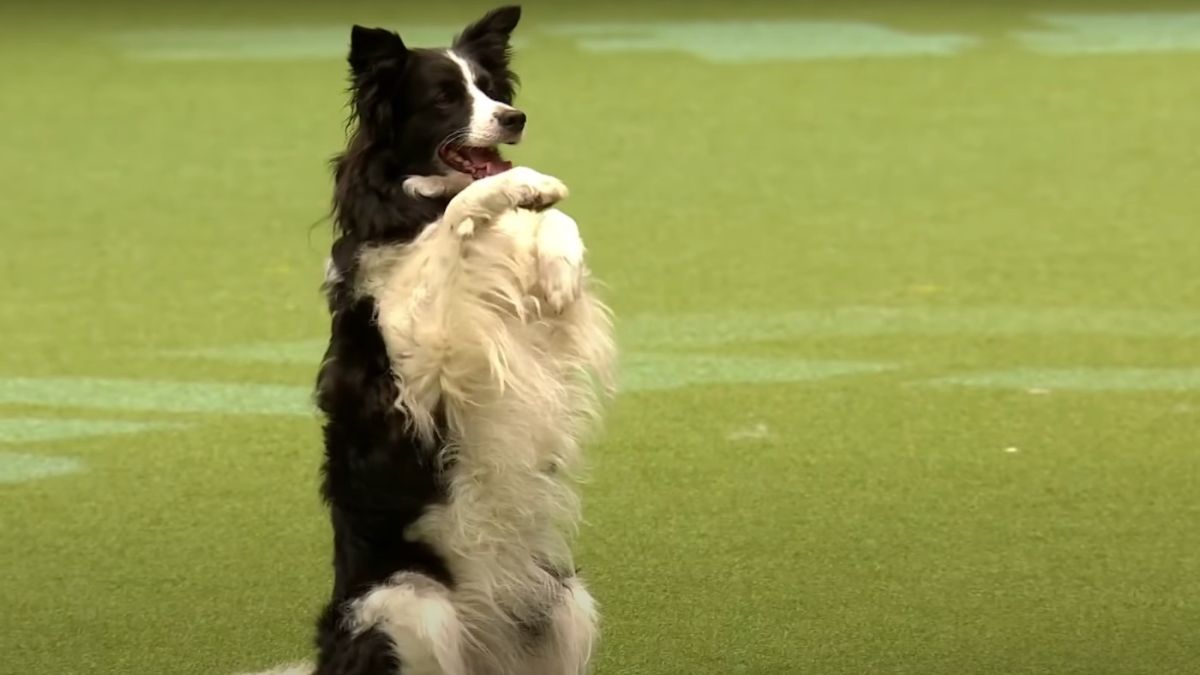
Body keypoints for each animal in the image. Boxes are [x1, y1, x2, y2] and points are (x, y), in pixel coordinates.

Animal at [250, 5, 619, 672]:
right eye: (445, 98)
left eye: (493, 90)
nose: (515, 117)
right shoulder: (419, 356)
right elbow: (454, 221)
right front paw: (516, 189)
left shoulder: (540, 335)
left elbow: (549, 225)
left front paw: (558, 257)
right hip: (408, 603)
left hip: (566, 599)